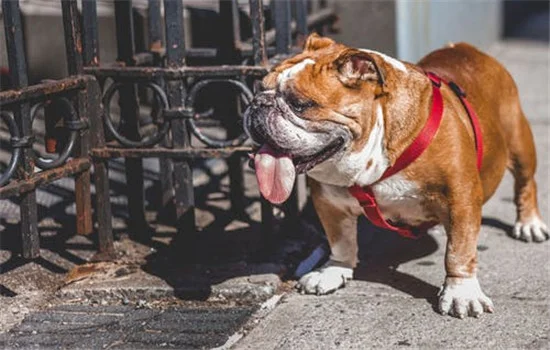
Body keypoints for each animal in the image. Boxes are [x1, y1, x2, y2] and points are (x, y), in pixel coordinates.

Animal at [246, 34, 550, 318]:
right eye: (258, 89)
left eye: (300, 104)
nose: (258, 104)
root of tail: (467, 48)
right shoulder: (328, 201)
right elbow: (340, 240)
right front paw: (334, 270)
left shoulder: (461, 199)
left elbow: (459, 251)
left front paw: (461, 293)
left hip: (519, 141)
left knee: (526, 183)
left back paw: (529, 224)